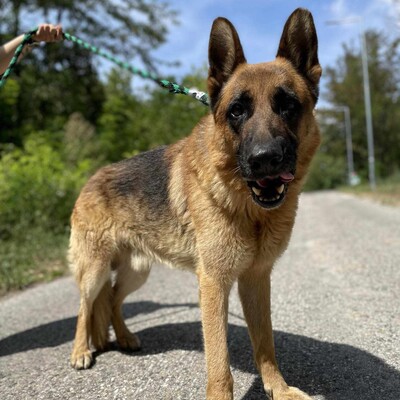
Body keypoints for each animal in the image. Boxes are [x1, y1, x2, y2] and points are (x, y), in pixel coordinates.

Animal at [69, 7, 322, 398]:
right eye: (237, 111)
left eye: (288, 106)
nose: (265, 159)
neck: (247, 208)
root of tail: (90, 181)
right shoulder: (214, 284)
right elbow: (219, 360)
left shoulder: (255, 279)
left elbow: (265, 344)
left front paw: (278, 388)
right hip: (94, 269)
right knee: (86, 306)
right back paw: (81, 351)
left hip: (136, 271)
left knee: (110, 299)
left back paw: (124, 338)